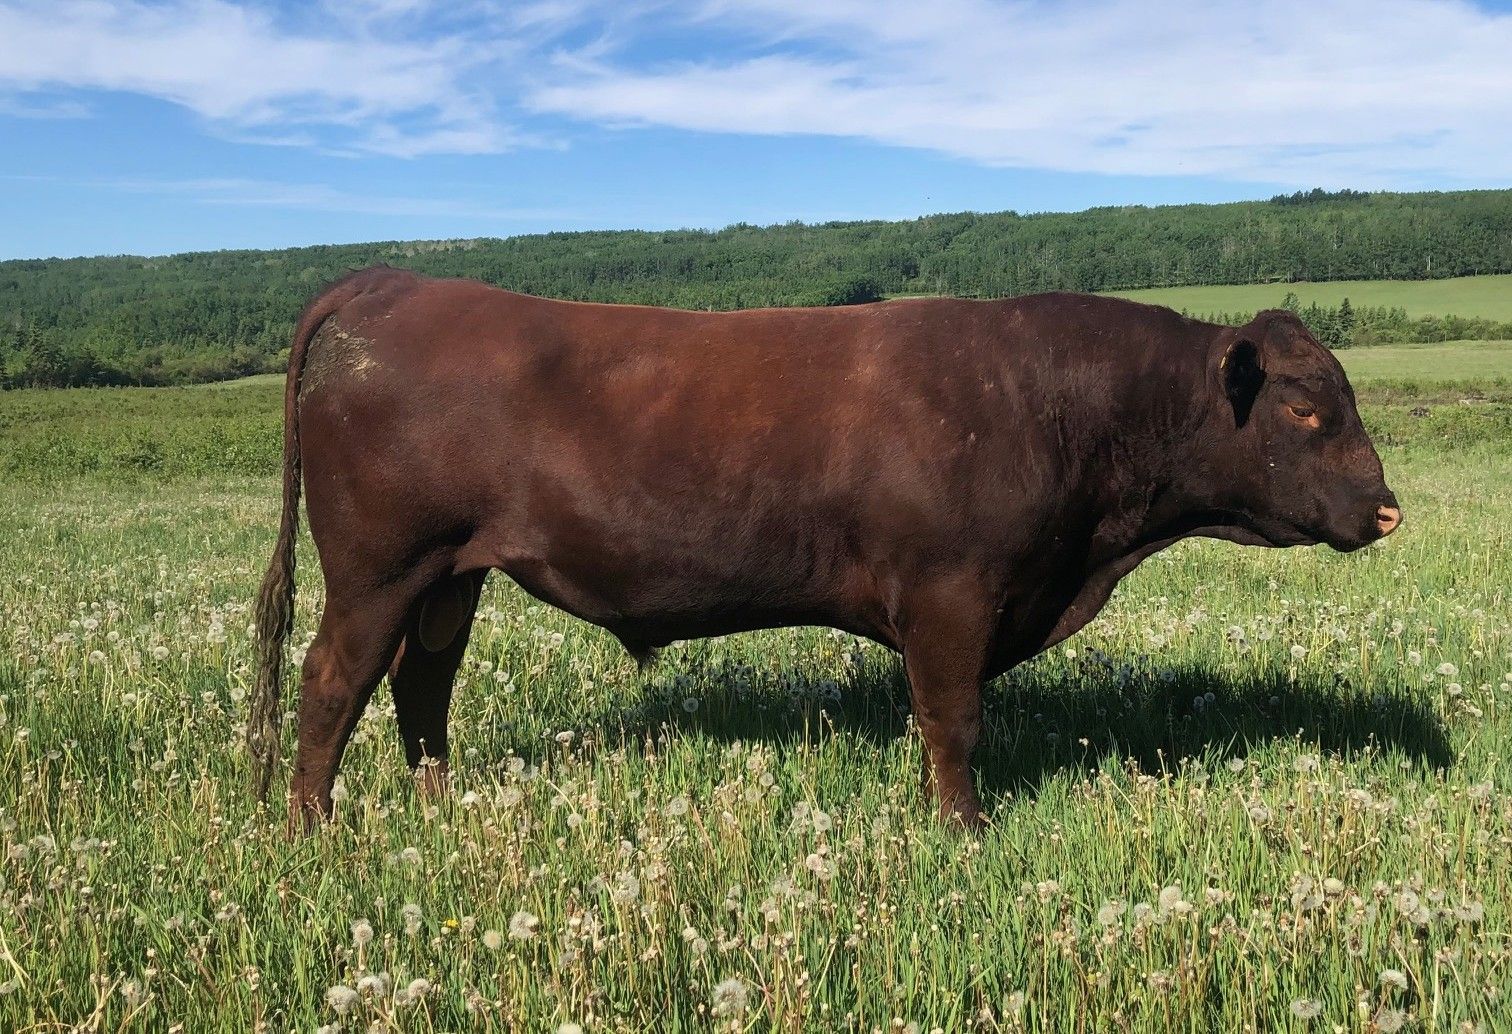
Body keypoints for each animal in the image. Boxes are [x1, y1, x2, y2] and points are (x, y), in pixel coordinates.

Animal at [248, 267, 1401, 831]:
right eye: (1305, 408)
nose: (1388, 510)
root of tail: (389, 283)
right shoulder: (950, 594)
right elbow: (952, 721)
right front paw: (963, 829)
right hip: (379, 567)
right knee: (332, 678)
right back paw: (313, 826)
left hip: (453, 572)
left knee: (420, 682)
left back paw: (439, 801)